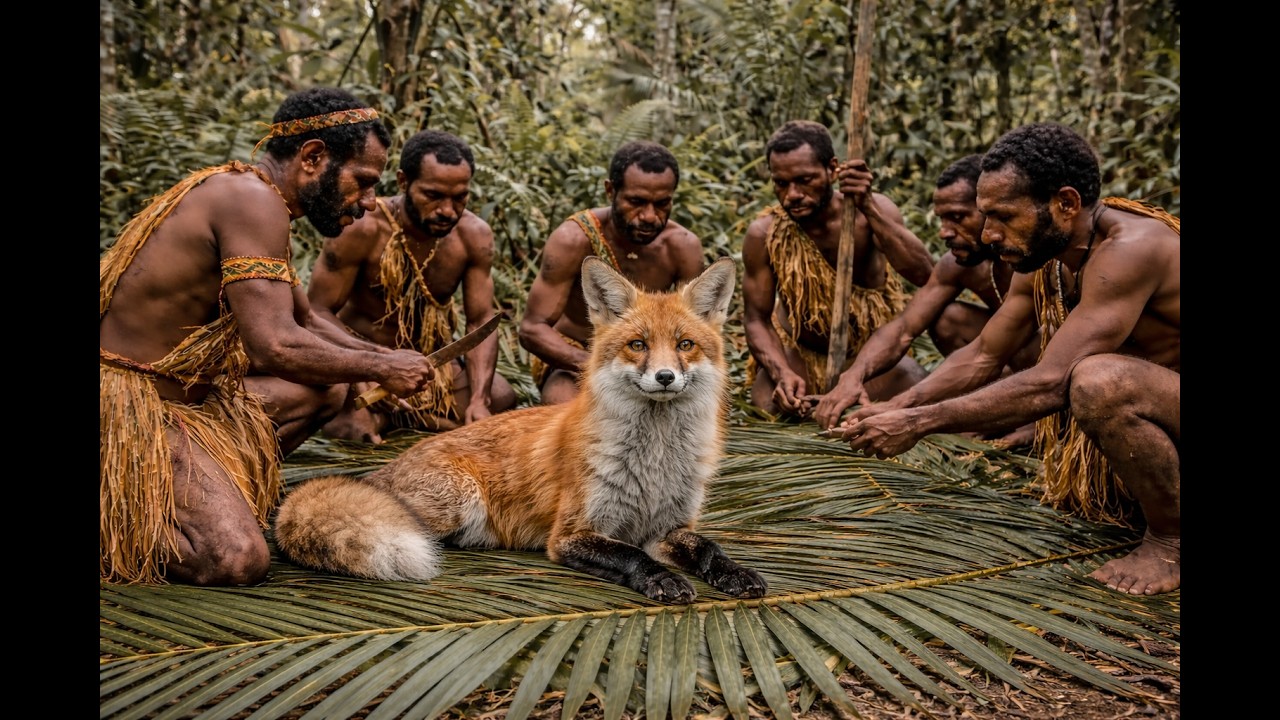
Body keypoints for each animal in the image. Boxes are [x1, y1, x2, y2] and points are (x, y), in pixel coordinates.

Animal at [273, 256, 767, 603]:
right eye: (637, 345)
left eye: (685, 345)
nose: (665, 377)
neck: (655, 462)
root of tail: (383, 469)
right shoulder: (570, 534)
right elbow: (631, 555)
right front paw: (662, 580)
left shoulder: (668, 527)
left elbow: (708, 547)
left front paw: (735, 573)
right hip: (453, 503)